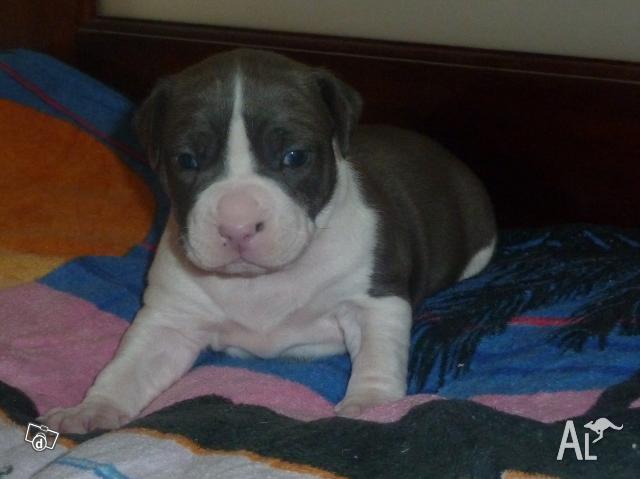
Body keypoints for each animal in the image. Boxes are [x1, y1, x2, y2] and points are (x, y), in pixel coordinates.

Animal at [42, 49, 498, 436]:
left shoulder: (374, 299)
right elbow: (128, 367)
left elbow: (378, 352)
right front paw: (92, 407)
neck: (258, 282)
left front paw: (370, 404)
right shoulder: (170, 320)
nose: (238, 226)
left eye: (294, 156)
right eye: (186, 160)